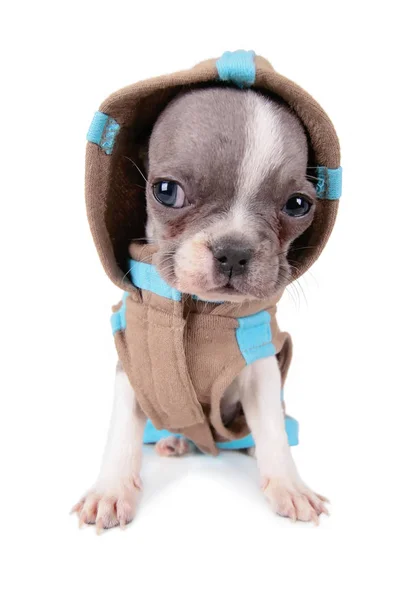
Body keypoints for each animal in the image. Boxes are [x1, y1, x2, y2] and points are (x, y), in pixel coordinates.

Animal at [74, 85, 328, 528]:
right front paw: (110, 490)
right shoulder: (133, 364)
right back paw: (176, 439)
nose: (234, 252)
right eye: (166, 191)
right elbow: (121, 430)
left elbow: (274, 430)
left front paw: (290, 486)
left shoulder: (260, 368)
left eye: (298, 204)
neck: (203, 311)